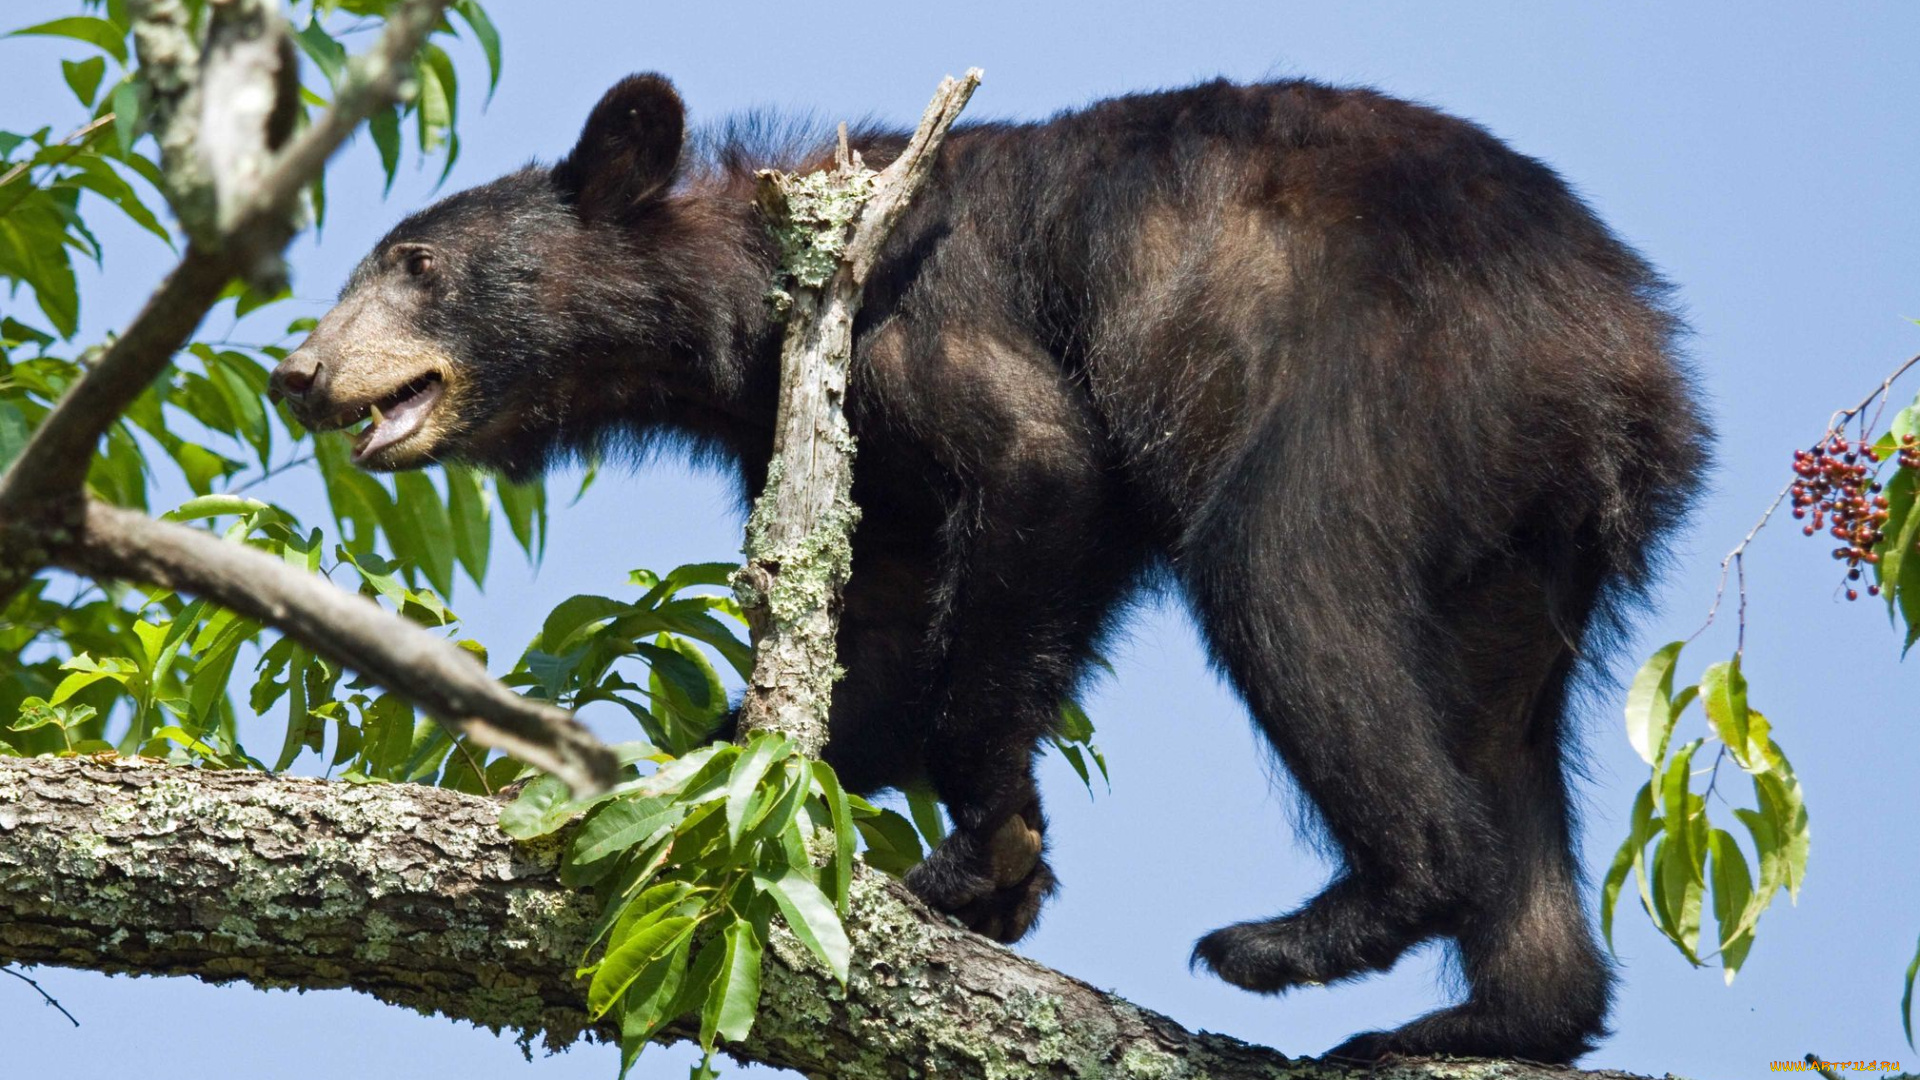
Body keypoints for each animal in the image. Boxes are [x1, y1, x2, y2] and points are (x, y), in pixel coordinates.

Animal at [270, 73, 1712, 1060]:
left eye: (417, 265)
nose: (297, 370)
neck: (749, 302)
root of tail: (1631, 363)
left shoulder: (911, 312)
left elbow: (1039, 465)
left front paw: (985, 856)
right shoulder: (846, 441)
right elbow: (878, 644)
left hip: (1402, 376)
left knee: (1284, 578)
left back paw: (1316, 926)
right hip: (1525, 538)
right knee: (1504, 724)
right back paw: (1493, 1017)